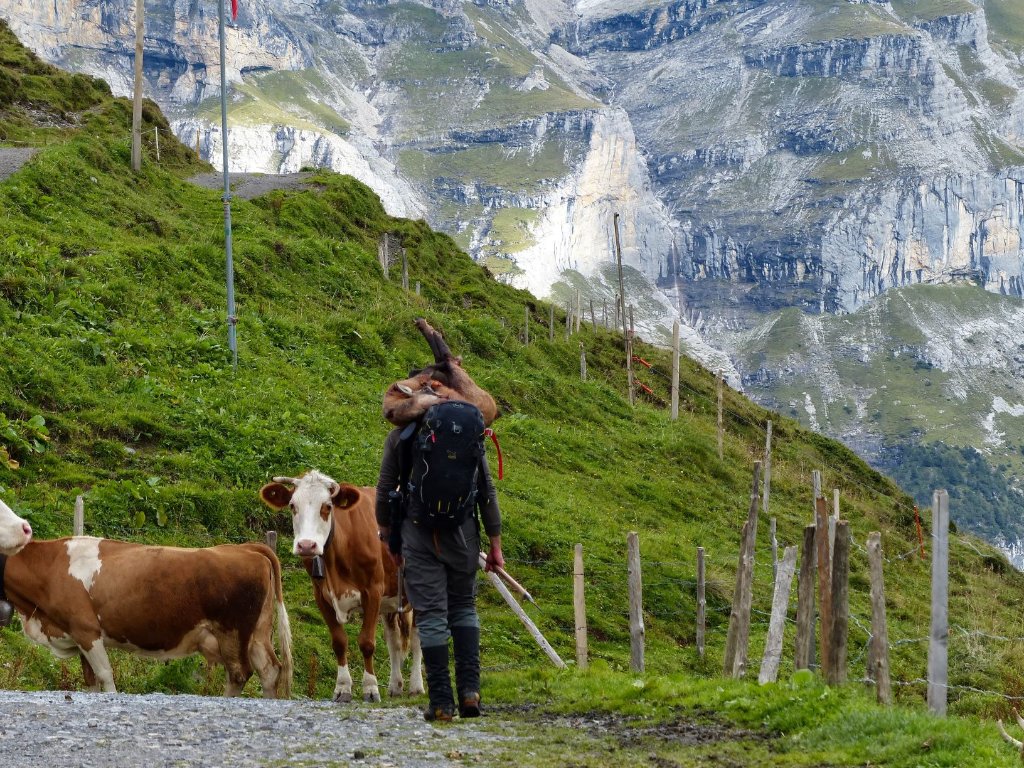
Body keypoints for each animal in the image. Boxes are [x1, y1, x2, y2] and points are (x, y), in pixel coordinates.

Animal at [2, 536, 294, 700]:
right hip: (257, 633)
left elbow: (105, 675)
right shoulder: (77, 632)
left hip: (232, 631)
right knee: (269, 670)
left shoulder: (87, 630)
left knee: (239, 672)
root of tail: (246, 549)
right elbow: (91, 680)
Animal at [264, 468, 428, 704]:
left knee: (416, 638)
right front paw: (342, 688)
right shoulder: (321, 596)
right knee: (394, 640)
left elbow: (367, 642)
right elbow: (339, 642)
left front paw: (370, 689)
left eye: (327, 506)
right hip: (391, 599)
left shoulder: (373, 591)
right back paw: (395, 686)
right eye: (293, 505)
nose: (306, 545)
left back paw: (415, 686)